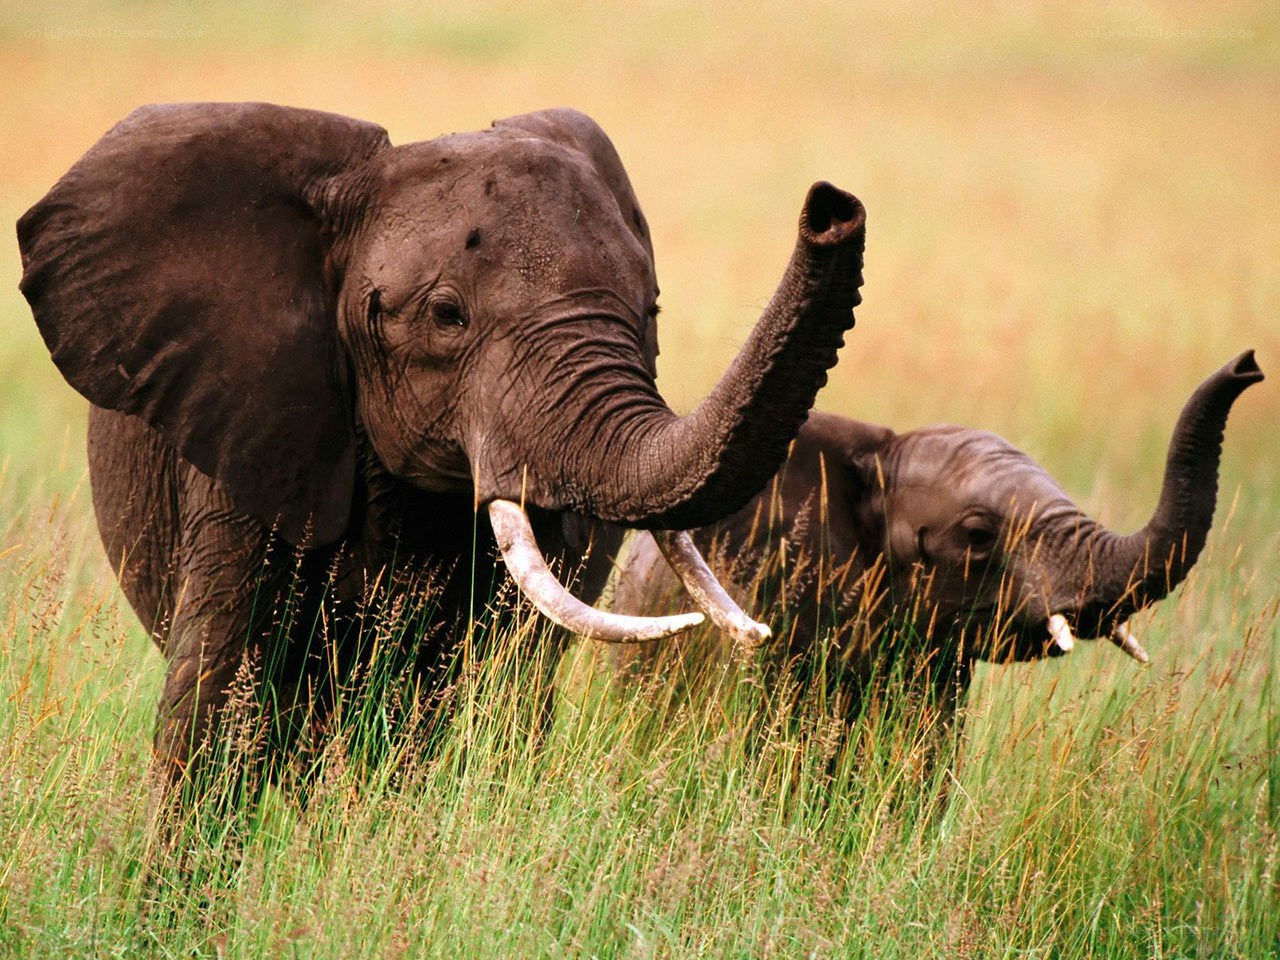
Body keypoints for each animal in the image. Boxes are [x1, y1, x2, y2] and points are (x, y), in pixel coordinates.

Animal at [17, 102, 866, 787]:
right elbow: (218, 698)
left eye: (650, 308)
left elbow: (482, 692)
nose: (832, 207)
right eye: (447, 315)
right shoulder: (250, 425)